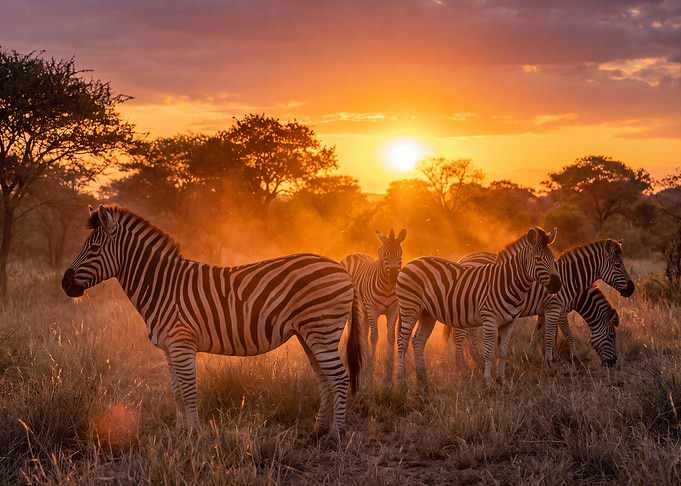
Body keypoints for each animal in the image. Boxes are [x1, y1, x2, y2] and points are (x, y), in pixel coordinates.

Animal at [61, 204, 363, 437]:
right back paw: (319, 430)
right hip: (308, 334)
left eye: (94, 248)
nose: (65, 284)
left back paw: (336, 434)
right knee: (324, 378)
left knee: (339, 378)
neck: (161, 286)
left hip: (322, 329)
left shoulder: (181, 344)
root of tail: (340, 267)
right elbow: (176, 391)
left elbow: (189, 390)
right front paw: (180, 432)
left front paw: (195, 434)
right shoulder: (169, 348)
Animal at [341, 228, 406, 383]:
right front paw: (370, 369)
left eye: (400, 253)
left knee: (363, 332)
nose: (394, 277)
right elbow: (375, 337)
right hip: (354, 311)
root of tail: (354, 254)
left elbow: (391, 337)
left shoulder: (393, 311)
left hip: (363, 312)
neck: (387, 288)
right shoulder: (373, 310)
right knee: (355, 331)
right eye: (385, 254)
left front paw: (389, 372)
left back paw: (363, 361)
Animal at [396, 227, 561, 388]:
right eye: (538, 259)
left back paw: (422, 380)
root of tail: (411, 263)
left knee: (418, 341)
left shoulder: (509, 322)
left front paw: (502, 381)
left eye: (553, 258)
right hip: (410, 308)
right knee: (402, 341)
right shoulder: (490, 319)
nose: (557, 285)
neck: (507, 282)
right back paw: (401, 381)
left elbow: (502, 352)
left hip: (427, 314)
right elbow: (489, 352)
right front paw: (488, 383)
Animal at [454, 239, 633, 366]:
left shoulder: (544, 310)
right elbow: (563, 333)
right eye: (611, 336)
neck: (570, 278)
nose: (612, 363)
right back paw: (464, 363)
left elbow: (539, 333)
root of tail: (463, 259)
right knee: (461, 333)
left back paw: (475, 359)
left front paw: (531, 357)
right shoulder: (557, 308)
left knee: (469, 332)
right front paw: (568, 358)